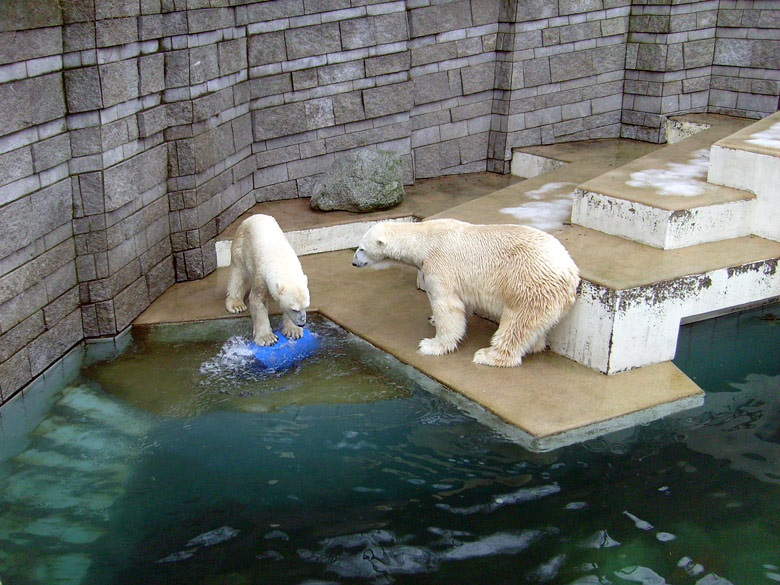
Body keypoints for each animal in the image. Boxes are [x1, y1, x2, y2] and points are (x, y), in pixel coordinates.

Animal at [224, 213, 310, 344]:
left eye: (306, 306)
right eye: (294, 309)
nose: (302, 324)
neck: (283, 263)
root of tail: (253, 216)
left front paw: (293, 331)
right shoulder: (261, 277)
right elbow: (258, 301)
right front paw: (267, 338)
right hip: (241, 245)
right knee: (238, 274)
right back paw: (236, 305)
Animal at [354, 218, 580, 364]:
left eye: (362, 248)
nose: (354, 262)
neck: (423, 239)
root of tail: (571, 272)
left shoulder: (439, 266)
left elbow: (447, 306)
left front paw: (431, 345)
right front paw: (433, 319)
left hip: (528, 286)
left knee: (517, 322)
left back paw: (488, 356)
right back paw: (534, 345)